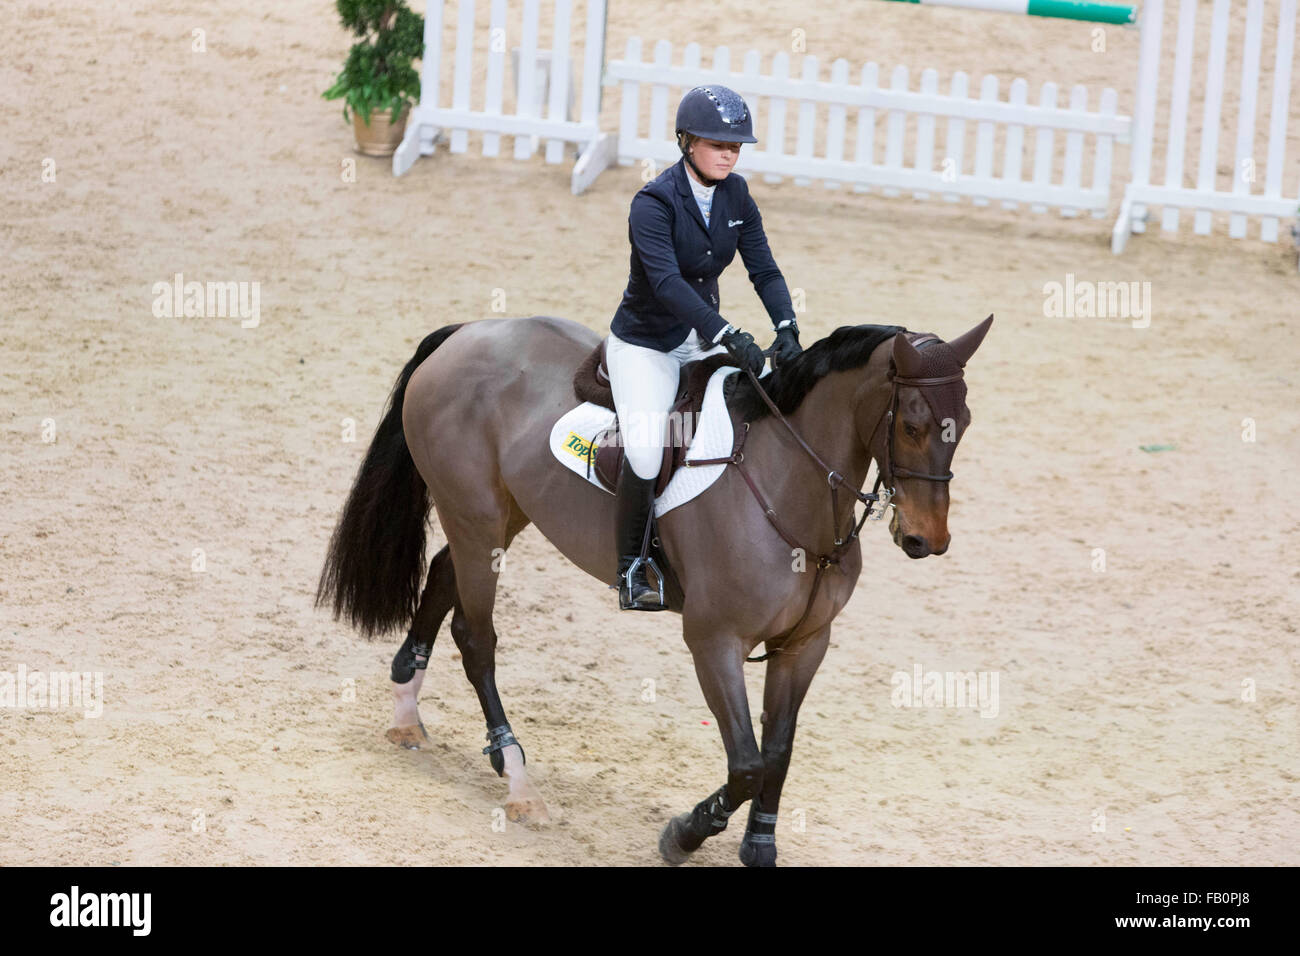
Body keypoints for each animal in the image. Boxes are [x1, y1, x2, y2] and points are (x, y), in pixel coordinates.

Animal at [316, 313, 993, 866]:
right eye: (911, 426)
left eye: (964, 423)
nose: (927, 539)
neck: (790, 485)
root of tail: (466, 332)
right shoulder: (714, 641)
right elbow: (747, 763)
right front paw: (686, 834)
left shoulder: (805, 645)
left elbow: (778, 752)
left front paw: (760, 843)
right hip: (476, 518)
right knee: (476, 637)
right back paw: (518, 780)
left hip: (499, 518)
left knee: (439, 578)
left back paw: (406, 712)